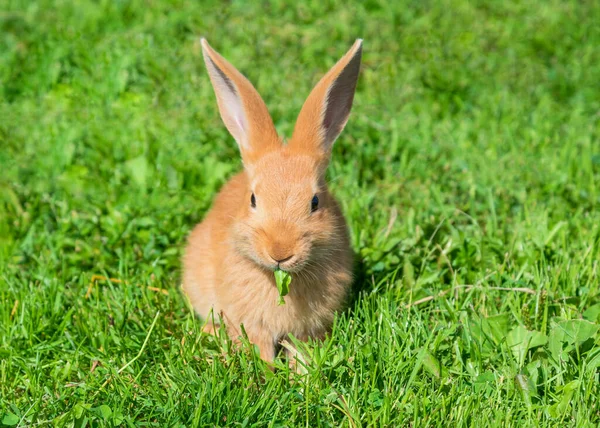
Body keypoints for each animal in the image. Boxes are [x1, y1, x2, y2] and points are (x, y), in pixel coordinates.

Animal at [182, 38, 360, 366]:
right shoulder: (251, 324)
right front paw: (265, 369)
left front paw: (300, 373)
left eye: (315, 202)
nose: (280, 252)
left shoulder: (308, 330)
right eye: (253, 199)